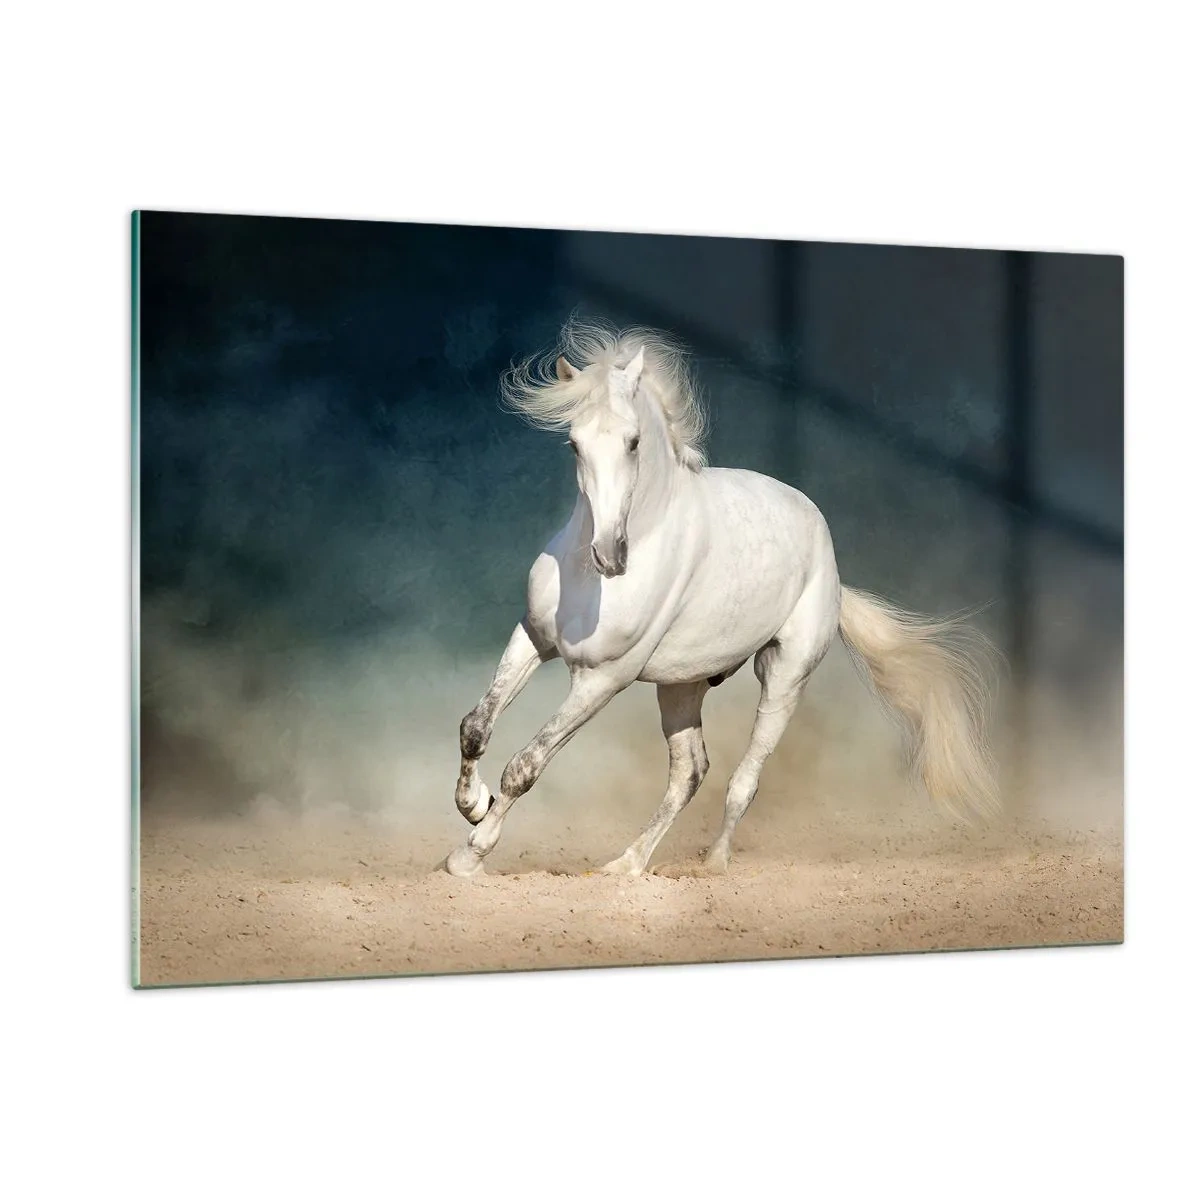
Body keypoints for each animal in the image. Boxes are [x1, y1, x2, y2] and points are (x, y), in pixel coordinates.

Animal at [446, 321, 999, 878]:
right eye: (574, 444)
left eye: (633, 442)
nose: (609, 555)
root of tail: (833, 569)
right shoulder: (534, 637)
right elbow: (476, 726)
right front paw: (473, 804)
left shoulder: (603, 679)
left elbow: (526, 765)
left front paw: (468, 855)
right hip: (681, 685)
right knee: (690, 771)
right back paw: (625, 866)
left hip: (783, 676)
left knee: (742, 779)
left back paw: (711, 864)